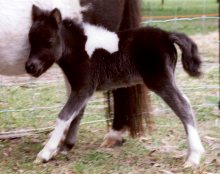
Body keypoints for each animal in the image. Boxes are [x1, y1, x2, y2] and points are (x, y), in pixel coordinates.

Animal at [25, 6, 205, 167]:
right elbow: (76, 115)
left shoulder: (83, 88)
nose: (30, 67)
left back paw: (193, 158)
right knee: (185, 103)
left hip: (160, 81)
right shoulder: (82, 90)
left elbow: (64, 116)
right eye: (31, 40)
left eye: (49, 41)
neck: (80, 50)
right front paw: (65, 147)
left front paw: (45, 153)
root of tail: (167, 35)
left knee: (183, 106)